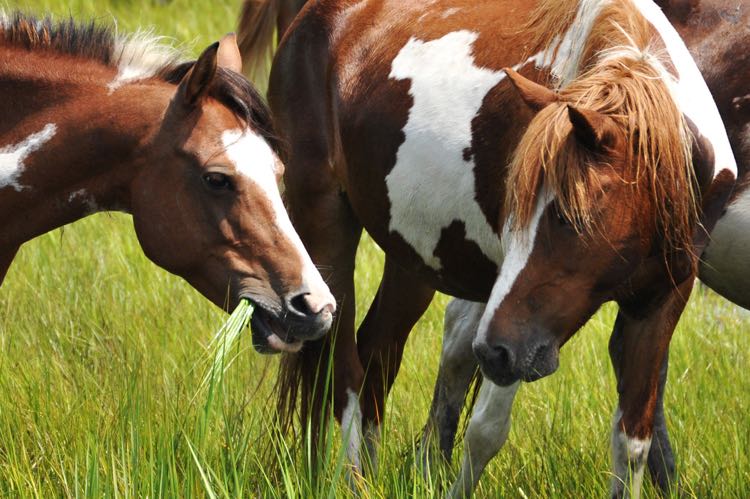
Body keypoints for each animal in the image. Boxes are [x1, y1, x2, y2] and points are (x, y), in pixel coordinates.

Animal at [239, 0, 740, 496]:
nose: (496, 350)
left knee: (376, 355)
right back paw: (350, 479)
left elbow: (632, 440)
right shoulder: (515, 324)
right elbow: (485, 430)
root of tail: (313, 16)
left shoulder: (658, 303)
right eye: (513, 210)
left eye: (569, 218)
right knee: (340, 370)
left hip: (413, 261)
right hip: (325, 224)